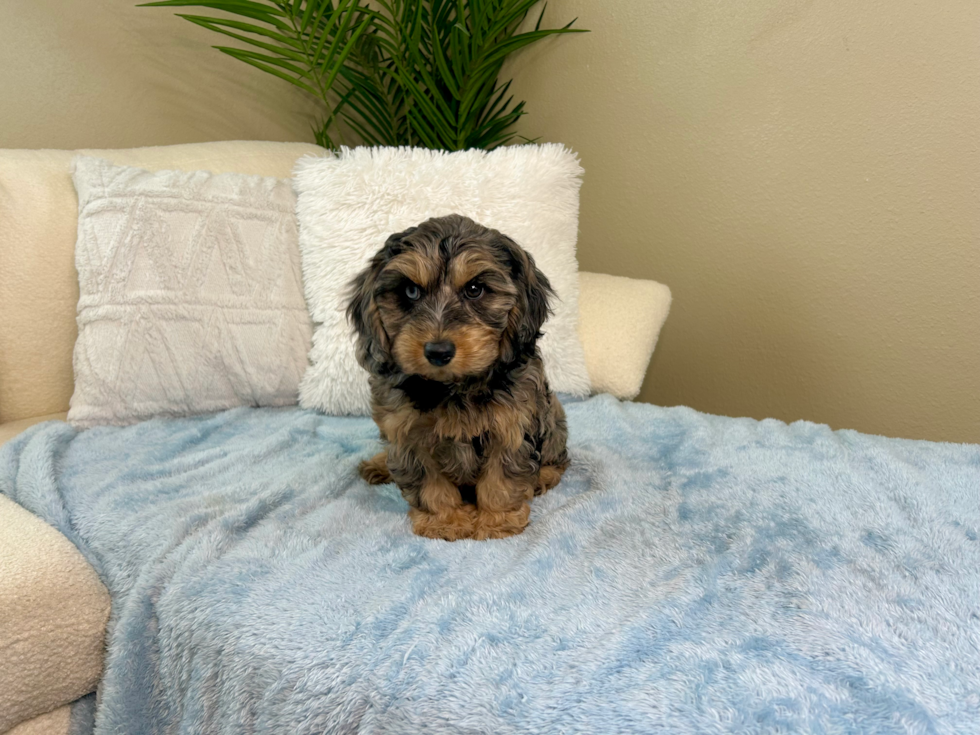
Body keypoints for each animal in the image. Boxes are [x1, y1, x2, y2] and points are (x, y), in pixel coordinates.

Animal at [350, 213, 568, 540]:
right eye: (411, 291)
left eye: (475, 289)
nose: (438, 351)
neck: (453, 387)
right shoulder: (406, 434)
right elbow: (429, 483)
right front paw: (446, 520)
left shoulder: (512, 425)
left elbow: (501, 480)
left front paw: (496, 522)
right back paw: (379, 465)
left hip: (553, 413)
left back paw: (544, 475)